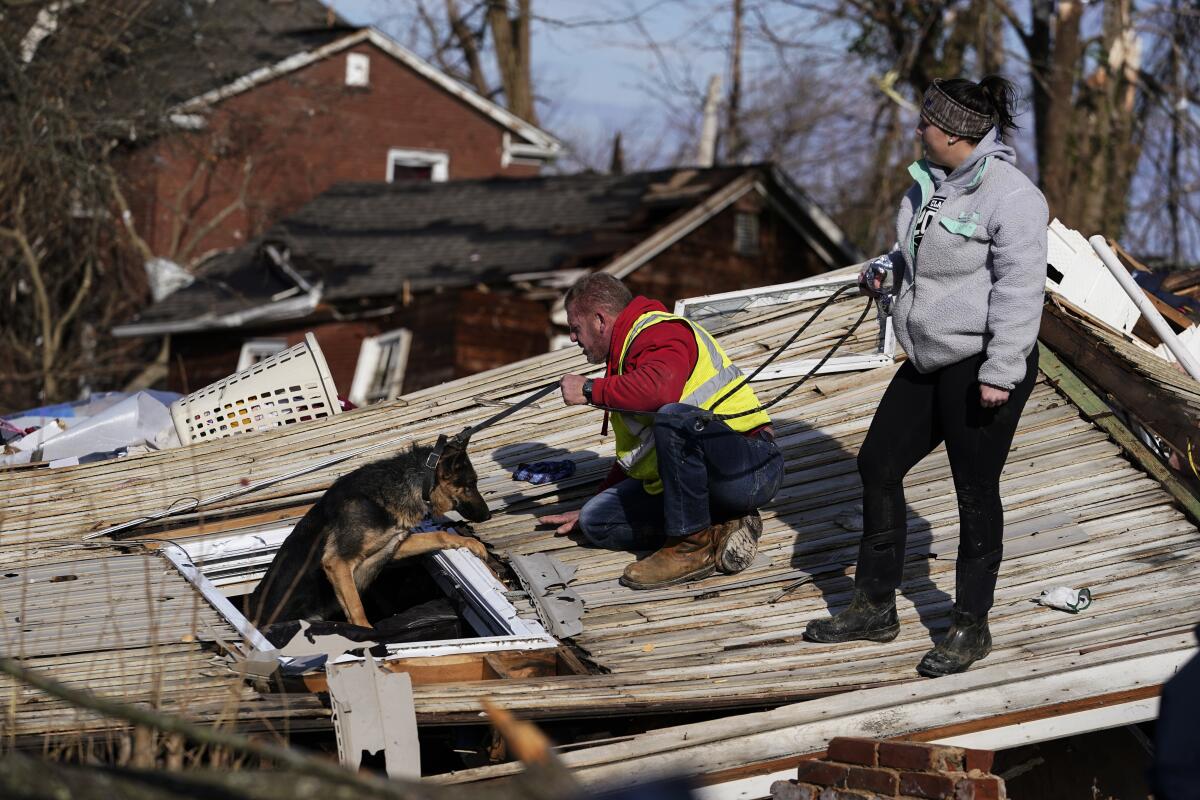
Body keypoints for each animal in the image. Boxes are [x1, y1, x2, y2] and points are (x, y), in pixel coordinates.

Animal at [246, 438, 489, 633]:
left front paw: (469, 542)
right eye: (470, 485)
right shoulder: (338, 562)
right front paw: (367, 634)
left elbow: (438, 536)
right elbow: (356, 607)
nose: (487, 515)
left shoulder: (394, 544)